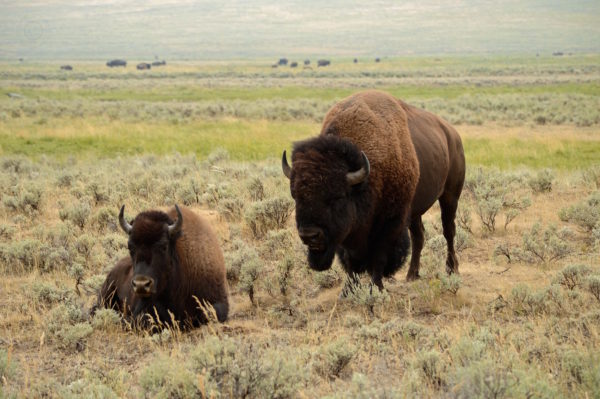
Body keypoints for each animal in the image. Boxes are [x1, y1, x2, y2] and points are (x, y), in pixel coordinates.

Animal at [282, 90, 464, 290]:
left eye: (337, 197)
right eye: (295, 196)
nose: (309, 235)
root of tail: (453, 135)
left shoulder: (389, 223)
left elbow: (378, 257)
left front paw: (376, 288)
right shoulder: (350, 233)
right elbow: (350, 261)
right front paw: (348, 290)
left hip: (450, 197)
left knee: (448, 231)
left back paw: (452, 269)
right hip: (415, 209)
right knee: (419, 236)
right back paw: (411, 275)